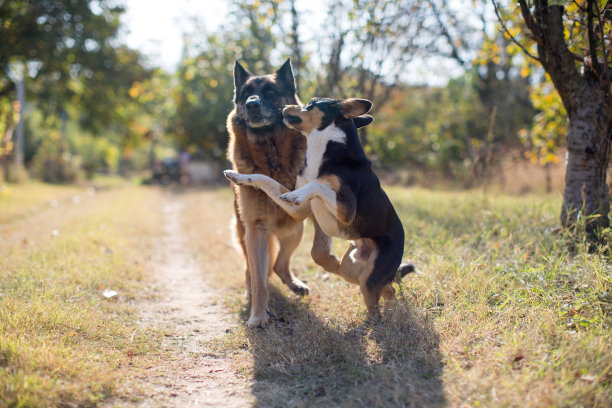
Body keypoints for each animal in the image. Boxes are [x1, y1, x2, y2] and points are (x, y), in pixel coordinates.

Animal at [225, 59, 314, 328]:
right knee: (256, 270)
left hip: (295, 230)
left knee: (279, 265)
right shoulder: (256, 229)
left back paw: (295, 284)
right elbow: (258, 280)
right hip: (248, 234)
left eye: (271, 91)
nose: (251, 104)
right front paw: (258, 315)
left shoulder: (296, 214)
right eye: (245, 93)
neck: (269, 152)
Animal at [226, 98, 416, 316]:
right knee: (388, 289)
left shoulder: (347, 210)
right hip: (352, 269)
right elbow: (263, 178)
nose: (284, 107)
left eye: (311, 103)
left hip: (370, 277)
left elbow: (316, 185)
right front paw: (237, 176)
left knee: (378, 304)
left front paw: (296, 194)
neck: (322, 150)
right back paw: (392, 310)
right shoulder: (298, 211)